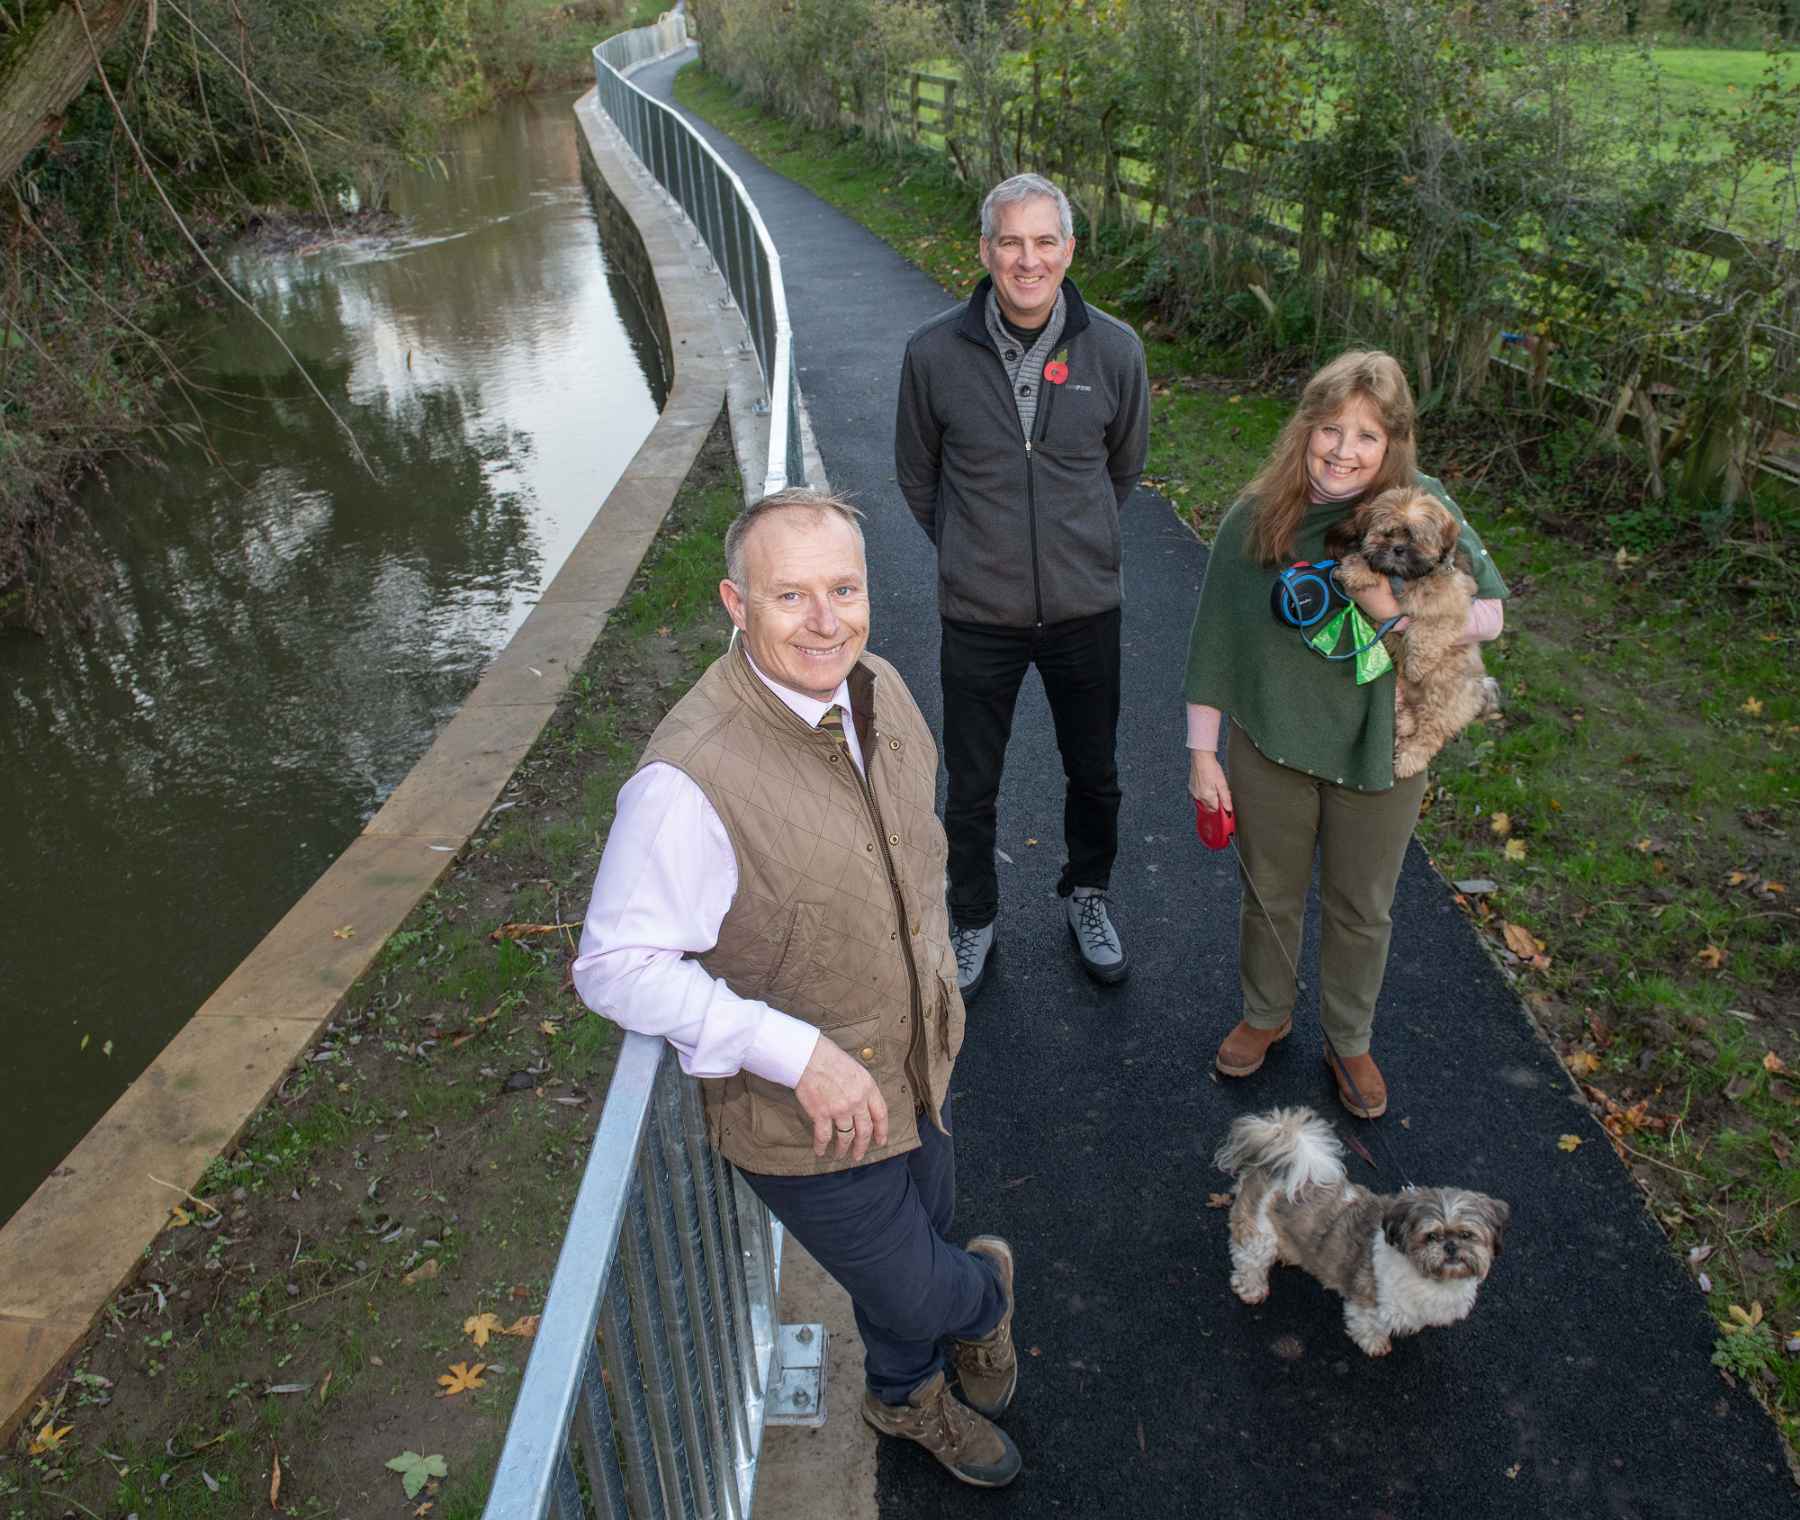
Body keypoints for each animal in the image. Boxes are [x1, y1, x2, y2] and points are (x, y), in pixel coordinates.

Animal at [1216, 1102, 1512, 1354]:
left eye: (1466, 1235)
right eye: (1430, 1236)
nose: (1450, 1246)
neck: (1430, 1279)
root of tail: (1278, 1161)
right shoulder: (1369, 1303)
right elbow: (1367, 1325)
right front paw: (1375, 1344)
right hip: (1258, 1236)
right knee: (1250, 1262)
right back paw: (1252, 1288)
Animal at [1332, 486, 1497, 778]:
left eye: (1416, 539)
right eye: (1387, 533)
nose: (1397, 549)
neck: (1406, 578)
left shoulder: (1452, 601)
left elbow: (1427, 628)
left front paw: (1417, 665)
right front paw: (1356, 569)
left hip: (1443, 696)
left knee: (1430, 734)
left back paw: (1409, 759)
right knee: (1409, 715)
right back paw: (1404, 723)